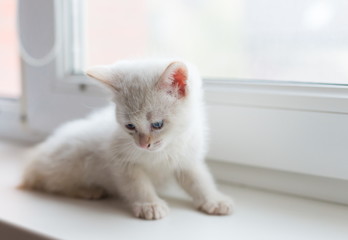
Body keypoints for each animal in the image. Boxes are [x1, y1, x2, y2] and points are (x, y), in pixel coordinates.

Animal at [21, 59, 234, 219]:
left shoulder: (186, 157)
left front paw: (213, 199)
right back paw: (87, 190)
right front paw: (150, 204)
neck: (161, 151)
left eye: (157, 124)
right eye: (130, 126)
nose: (143, 145)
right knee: (50, 182)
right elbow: (137, 184)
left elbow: (199, 180)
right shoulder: (120, 161)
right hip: (72, 158)